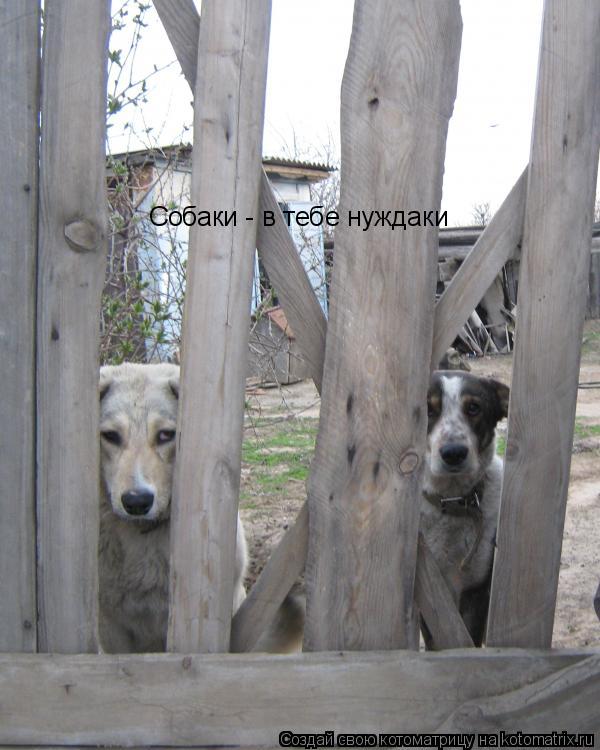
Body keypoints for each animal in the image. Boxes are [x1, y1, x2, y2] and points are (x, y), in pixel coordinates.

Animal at [420, 370, 508, 648]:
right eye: (427, 409)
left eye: (474, 408)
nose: (453, 453)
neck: (453, 502)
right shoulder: (431, 595)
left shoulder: (476, 591)